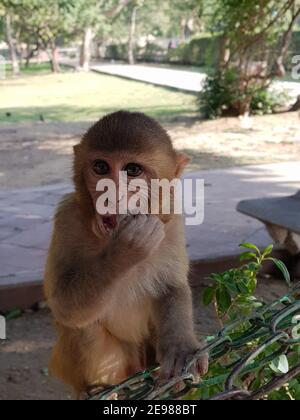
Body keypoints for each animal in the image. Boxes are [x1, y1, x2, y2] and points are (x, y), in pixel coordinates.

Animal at [44, 110, 209, 398]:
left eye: (132, 170)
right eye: (100, 167)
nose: (111, 193)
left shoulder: (171, 224)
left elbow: (171, 287)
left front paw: (181, 346)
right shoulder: (67, 219)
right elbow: (64, 306)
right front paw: (124, 251)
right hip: (111, 363)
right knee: (85, 327)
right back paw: (97, 387)